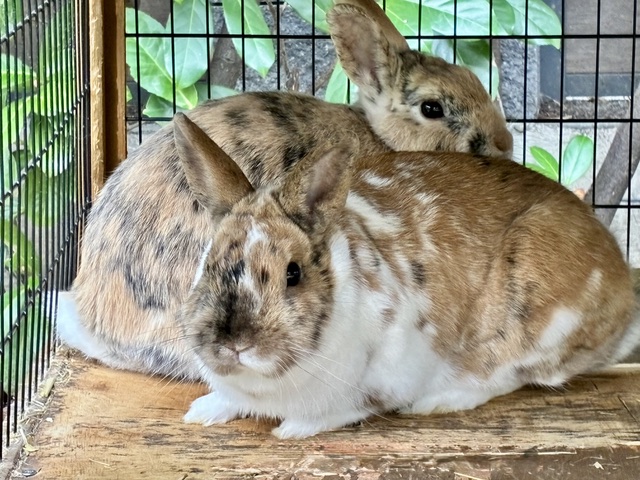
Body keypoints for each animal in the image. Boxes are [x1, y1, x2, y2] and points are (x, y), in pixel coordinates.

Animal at [171, 113, 640, 439]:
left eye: (293, 273)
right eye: (208, 262)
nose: (234, 344)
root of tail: (623, 289)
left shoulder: (385, 375)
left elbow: (346, 410)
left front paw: (293, 429)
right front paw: (202, 412)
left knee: (508, 373)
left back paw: (438, 401)